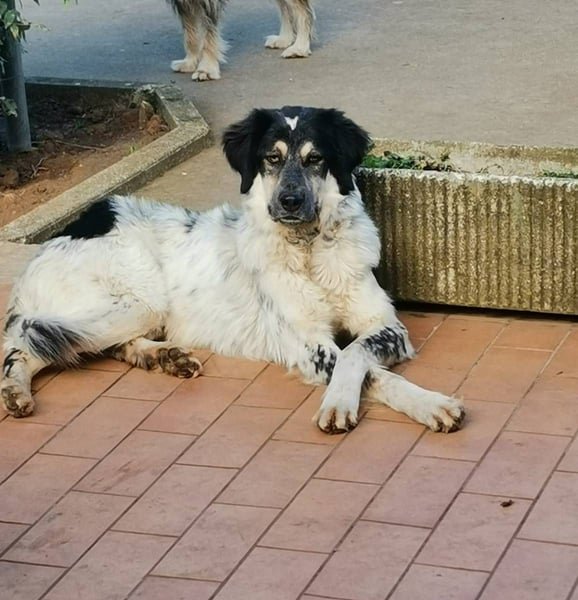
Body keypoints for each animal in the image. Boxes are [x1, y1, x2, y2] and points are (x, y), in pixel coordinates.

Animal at [1, 106, 465, 434]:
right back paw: (15, 390)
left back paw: (165, 356)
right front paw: (356, 403)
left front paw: (426, 403)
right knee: (22, 342)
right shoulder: (308, 345)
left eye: (315, 158)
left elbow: (359, 354)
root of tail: (76, 225)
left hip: (133, 313)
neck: (309, 252)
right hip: (133, 303)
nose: (290, 201)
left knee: (95, 345)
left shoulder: (386, 325)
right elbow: (370, 372)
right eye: (271, 159)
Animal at [168, 0, 314, 81]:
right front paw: (189, 62)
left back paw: (300, 47)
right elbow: (190, 33)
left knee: (303, 10)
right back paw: (284, 39)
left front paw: (206, 69)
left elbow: (208, 34)